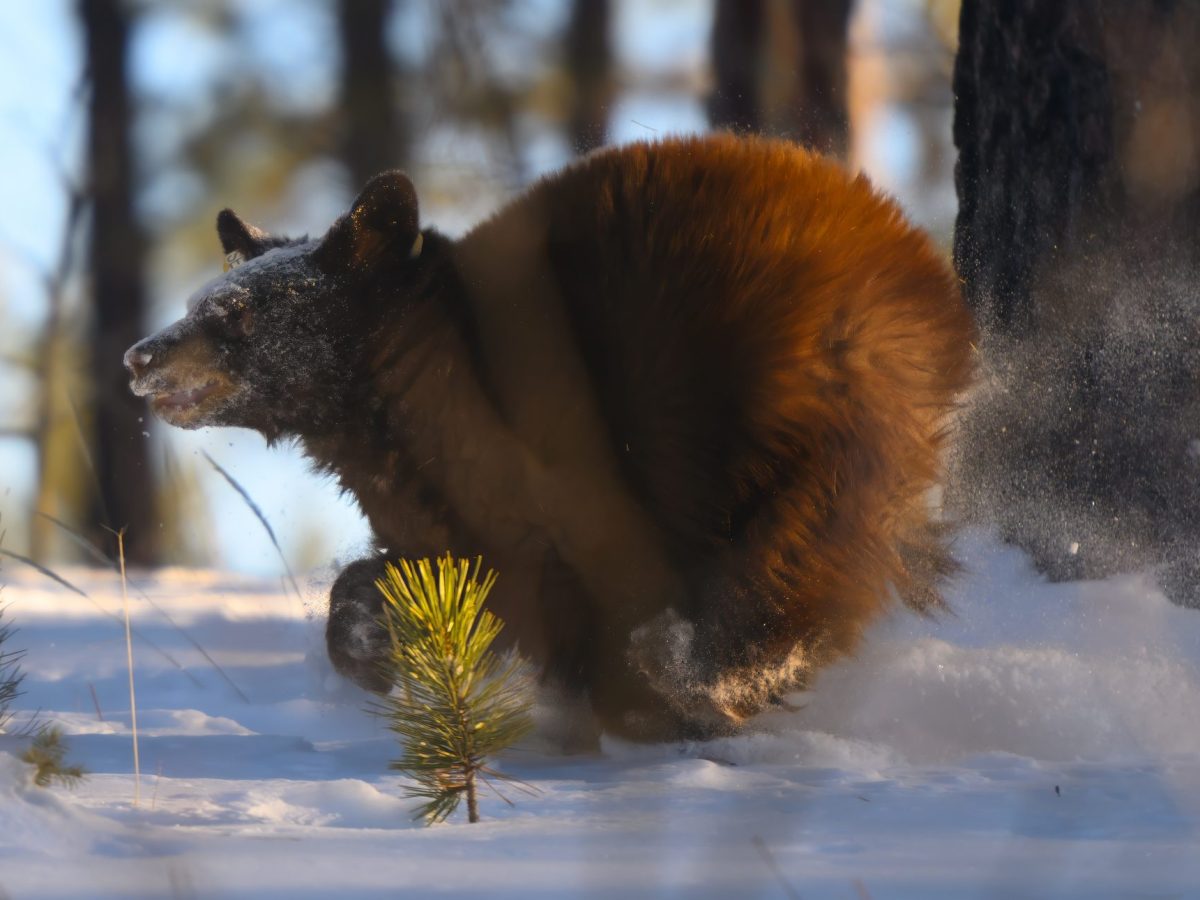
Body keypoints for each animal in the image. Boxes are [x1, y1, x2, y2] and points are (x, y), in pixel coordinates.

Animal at [125, 134, 976, 741]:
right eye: (203, 302)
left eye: (239, 315)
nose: (140, 356)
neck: (406, 369)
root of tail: (913, 283)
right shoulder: (446, 503)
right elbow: (429, 568)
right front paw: (370, 648)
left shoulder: (525, 456)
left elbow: (546, 574)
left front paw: (622, 703)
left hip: (763, 408)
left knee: (797, 549)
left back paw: (700, 683)